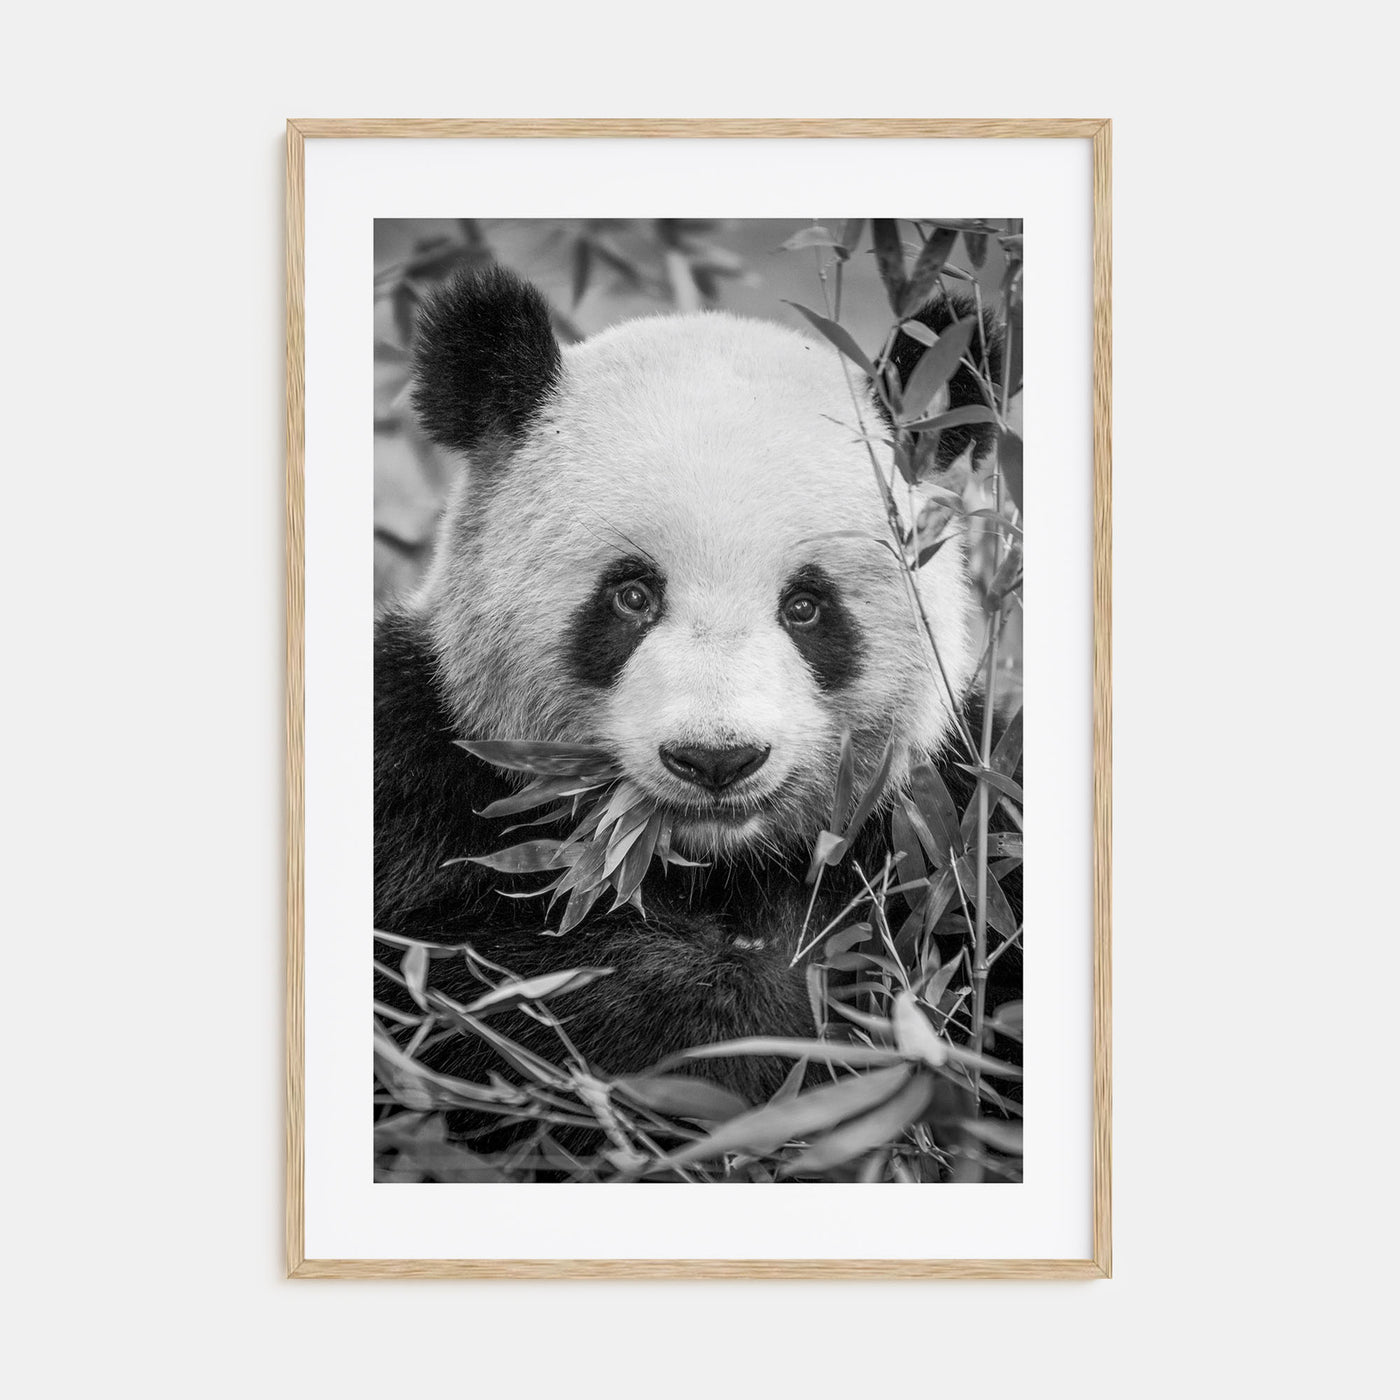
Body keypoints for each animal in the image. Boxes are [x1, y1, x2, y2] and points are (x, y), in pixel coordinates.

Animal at [375, 265, 1018, 1111]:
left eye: (806, 606)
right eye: (631, 596)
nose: (717, 759)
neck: (711, 866)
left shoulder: (952, 819)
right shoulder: (418, 778)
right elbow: (470, 988)